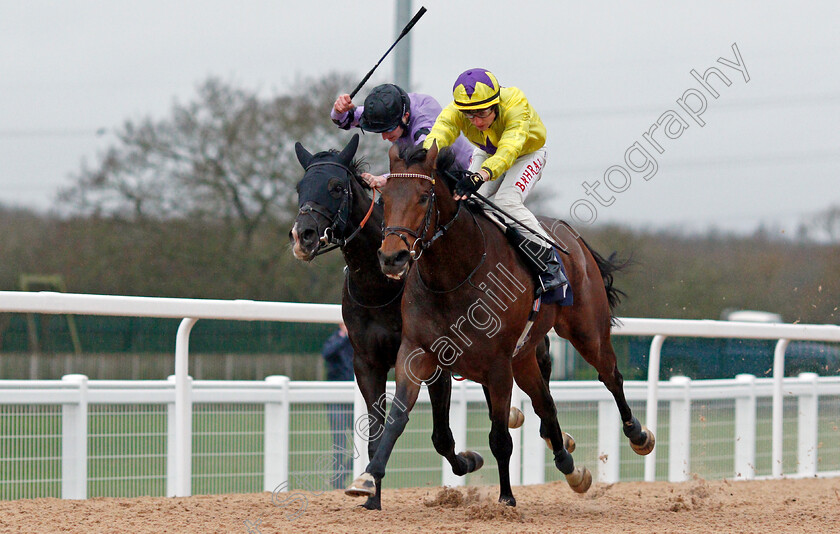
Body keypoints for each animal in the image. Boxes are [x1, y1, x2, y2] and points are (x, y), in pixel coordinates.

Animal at [354, 144, 656, 508]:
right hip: (524, 357)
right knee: (545, 402)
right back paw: (570, 468)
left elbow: (500, 437)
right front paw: (369, 478)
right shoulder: (417, 352)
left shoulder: (497, 366)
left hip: (587, 331)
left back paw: (638, 434)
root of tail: (572, 236)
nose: (392, 258)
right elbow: (397, 418)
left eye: (424, 197)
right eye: (385, 197)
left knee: (610, 375)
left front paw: (507, 499)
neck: (453, 277)